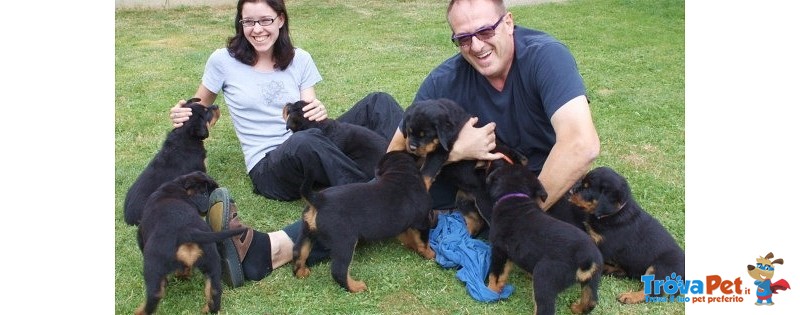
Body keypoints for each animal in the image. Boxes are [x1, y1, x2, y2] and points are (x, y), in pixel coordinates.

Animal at [136, 173, 247, 315]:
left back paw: (139, 311)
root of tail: (187, 231)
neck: (179, 188)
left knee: (154, 294)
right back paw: (208, 308)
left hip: (153, 264)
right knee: (215, 291)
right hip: (211, 261)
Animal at [292, 151, 434, 294]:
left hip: (307, 231)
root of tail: (319, 199)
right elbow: (423, 242)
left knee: (299, 252)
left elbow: (409, 237)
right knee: (339, 271)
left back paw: (302, 272)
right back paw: (356, 287)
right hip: (345, 242)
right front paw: (430, 254)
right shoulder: (422, 222)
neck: (402, 174)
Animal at [482, 163, 600, 315]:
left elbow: (496, 274)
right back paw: (577, 308)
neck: (514, 197)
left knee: (545, 307)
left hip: (544, 277)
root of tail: (586, 258)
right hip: (593, 278)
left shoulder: (499, 250)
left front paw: (490, 291)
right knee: (590, 300)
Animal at [568, 167, 688, 304]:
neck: (614, 213)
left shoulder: (604, 246)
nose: (570, 191)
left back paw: (629, 296)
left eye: (587, 188)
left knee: (652, 292)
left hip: (659, 268)